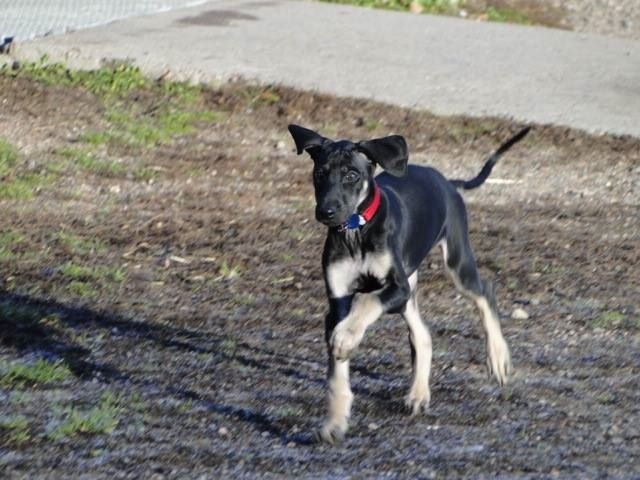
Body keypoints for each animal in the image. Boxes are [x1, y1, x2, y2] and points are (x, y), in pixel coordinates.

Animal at [290, 123, 528, 442]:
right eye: (319, 174)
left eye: (352, 175)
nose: (326, 212)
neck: (356, 231)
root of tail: (446, 181)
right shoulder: (338, 302)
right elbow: (337, 373)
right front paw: (335, 421)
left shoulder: (396, 288)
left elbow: (366, 301)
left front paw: (347, 337)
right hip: (410, 289)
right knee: (422, 335)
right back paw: (418, 394)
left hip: (455, 261)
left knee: (484, 294)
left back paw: (498, 358)